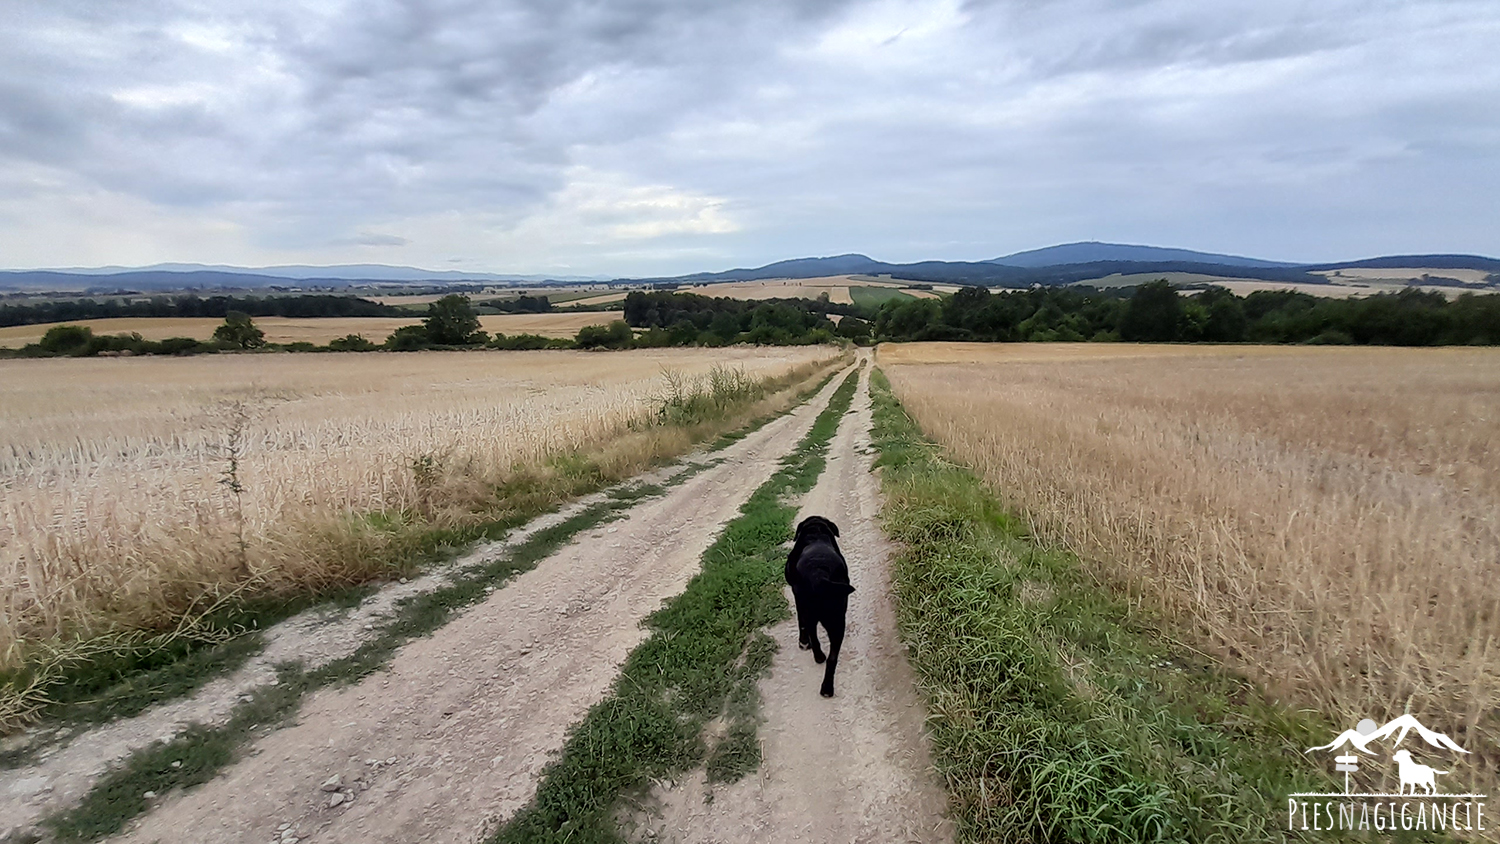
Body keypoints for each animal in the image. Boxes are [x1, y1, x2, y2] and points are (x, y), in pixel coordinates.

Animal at [786, 515, 858, 701]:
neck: (815, 533)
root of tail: (819, 575)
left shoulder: (797, 599)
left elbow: (801, 624)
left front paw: (803, 642)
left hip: (815, 614)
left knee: (814, 635)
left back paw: (819, 661)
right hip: (837, 621)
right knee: (832, 657)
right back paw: (826, 686)